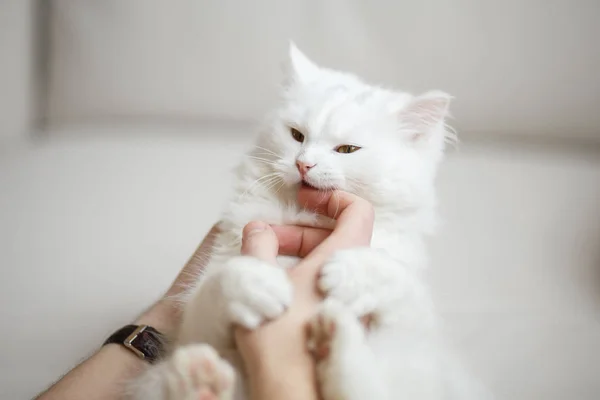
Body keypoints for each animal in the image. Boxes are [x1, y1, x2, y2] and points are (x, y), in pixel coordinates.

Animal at [131, 43, 482, 400]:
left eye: (347, 149)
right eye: (296, 135)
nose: (304, 164)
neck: (307, 217)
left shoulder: (415, 333)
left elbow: (401, 282)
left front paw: (349, 271)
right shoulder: (194, 324)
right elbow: (218, 286)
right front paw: (256, 283)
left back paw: (333, 334)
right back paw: (199, 378)